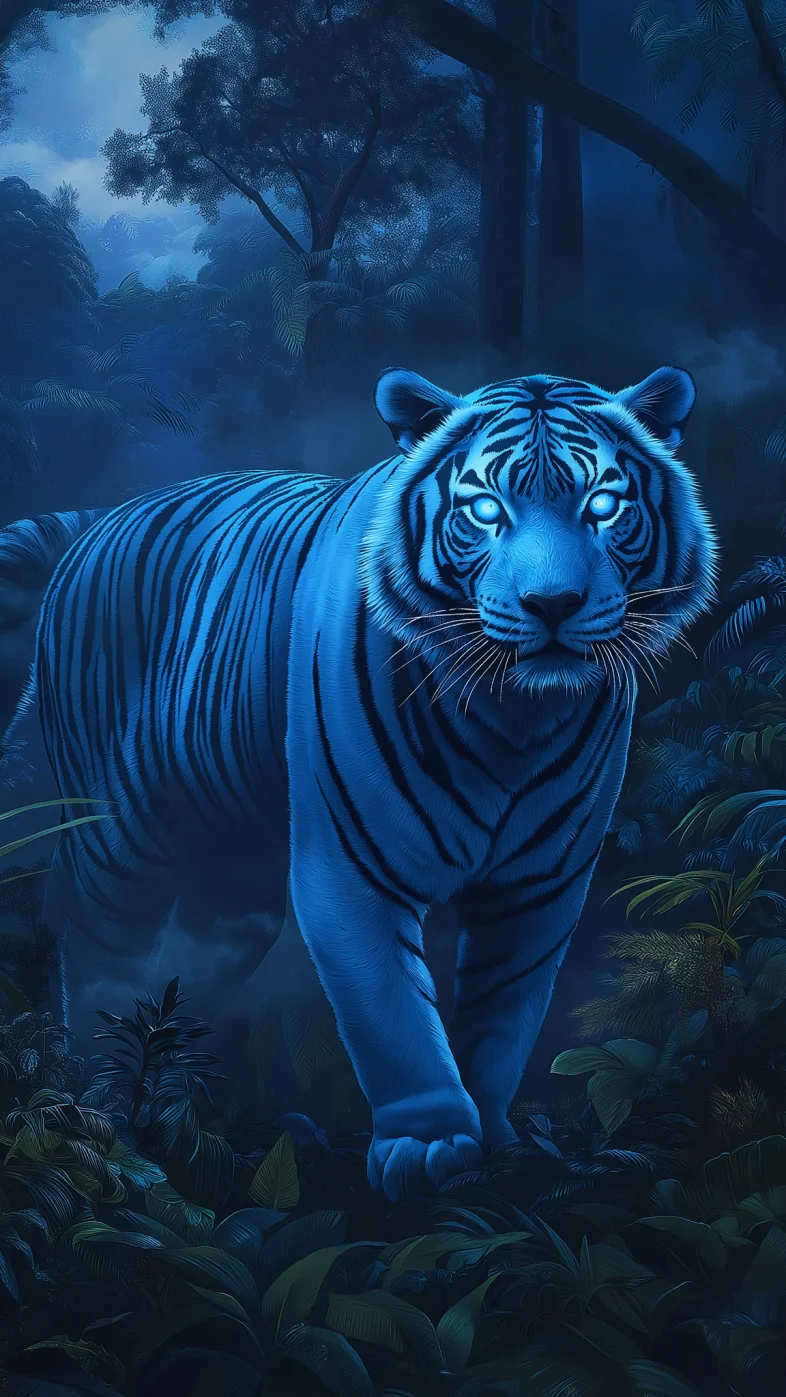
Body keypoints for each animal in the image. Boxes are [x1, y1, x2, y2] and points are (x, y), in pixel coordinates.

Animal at [26, 364, 717, 1201]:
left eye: (605, 504)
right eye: (486, 508)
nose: (552, 604)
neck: (514, 719)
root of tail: (101, 519)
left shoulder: (539, 887)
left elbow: (504, 1017)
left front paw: (492, 1135)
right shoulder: (352, 868)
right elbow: (392, 1015)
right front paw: (429, 1141)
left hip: (229, 886)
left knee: (181, 977)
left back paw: (180, 1106)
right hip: (117, 843)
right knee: (96, 949)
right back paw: (101, 1109)